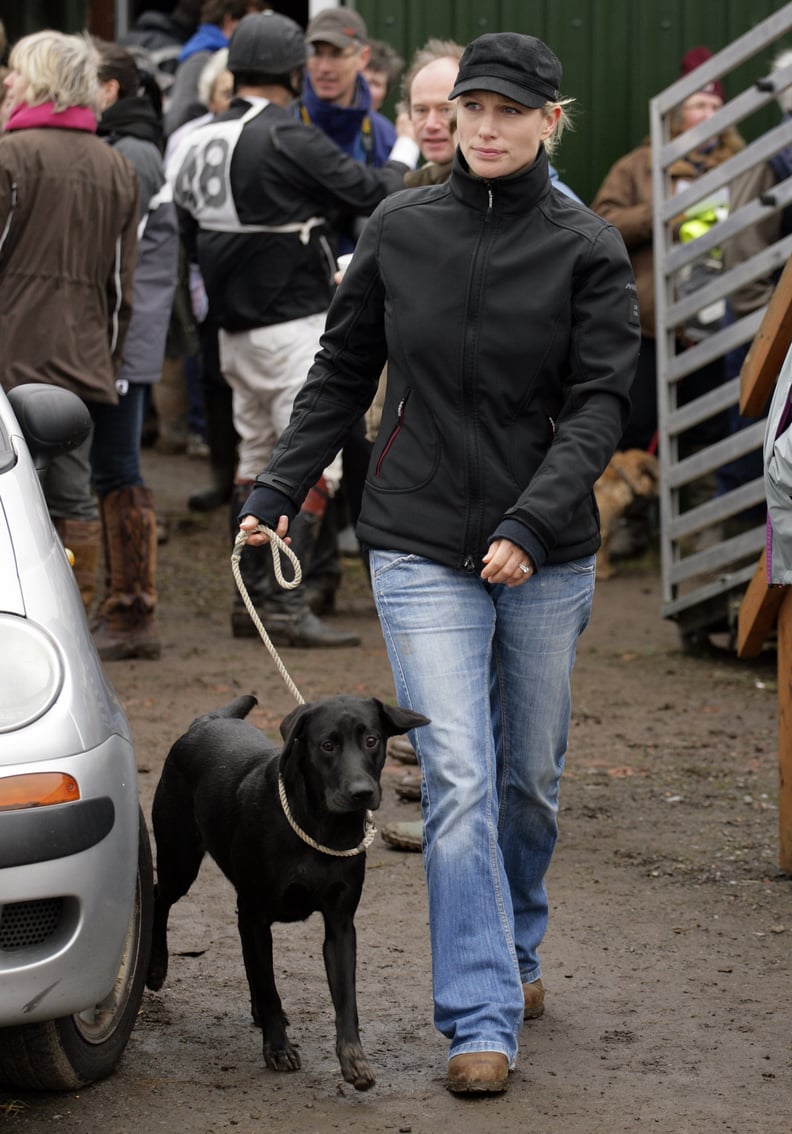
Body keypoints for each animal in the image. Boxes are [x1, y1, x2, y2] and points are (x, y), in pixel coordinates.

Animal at [141, 689, 426, 1088]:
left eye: (372, 740)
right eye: (327, 745)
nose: (361, 792)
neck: (321, 827)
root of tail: (207, 722)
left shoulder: (340, 925)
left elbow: (345, 1000)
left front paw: (354, 1059)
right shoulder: (256, 915)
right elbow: (270, 987)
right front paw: (277, 1048)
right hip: (179, 859)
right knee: (159, 896)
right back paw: (156, 968)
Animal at [594, 449, 658, 580]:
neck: (623, 475)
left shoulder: (610, 527)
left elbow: (606, 550)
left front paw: (606, 570)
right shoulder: (604, 527)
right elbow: (602, 551)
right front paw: (603, 573)